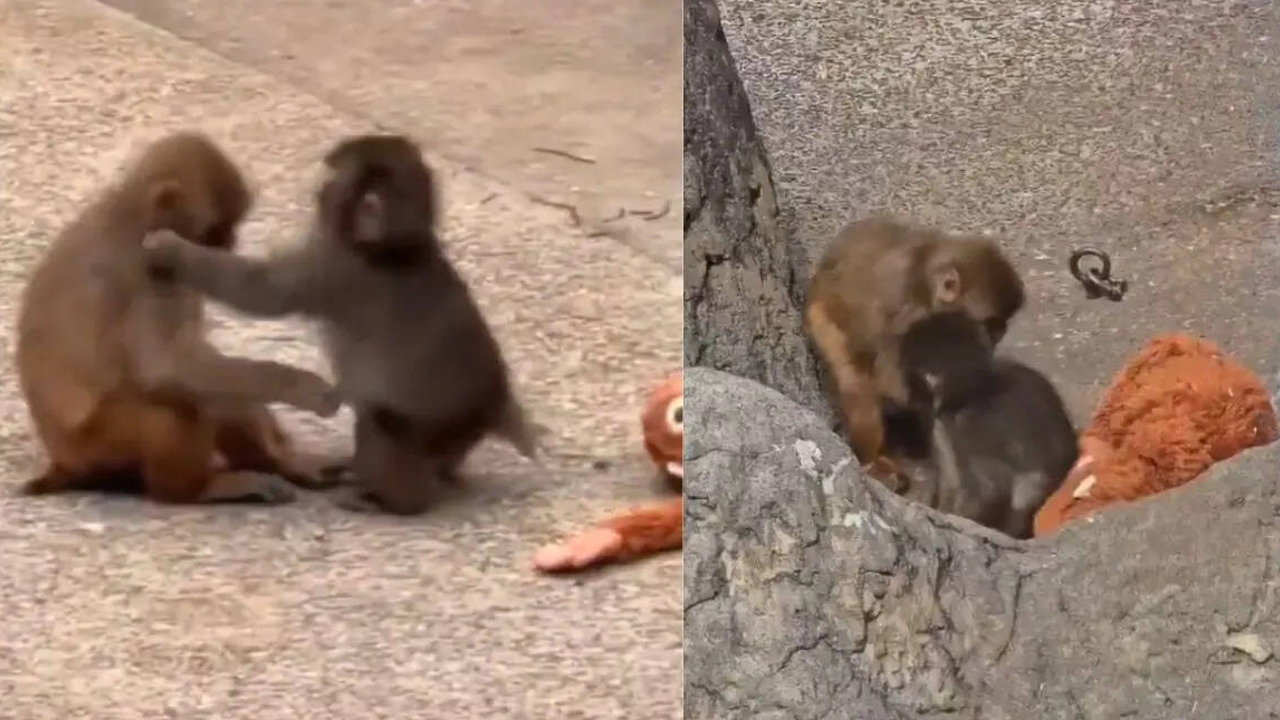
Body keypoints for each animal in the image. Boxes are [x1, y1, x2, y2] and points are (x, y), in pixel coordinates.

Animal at [15, 131, 342, 505]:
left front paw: (285, 459)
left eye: (232, 225)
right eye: (217, 228)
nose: (231, 241)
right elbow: (167, 368)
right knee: (178, 402)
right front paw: (298, 384)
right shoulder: (146, 268)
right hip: (99, 443)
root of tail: (61, 460)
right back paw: (192, 490)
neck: (133, 216)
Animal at [141, 133, 538, 516]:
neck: (391, 247)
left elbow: (264, 291)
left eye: (333, 176)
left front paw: (173, 249)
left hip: (430, 425)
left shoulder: (334, 266)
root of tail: (493, 402)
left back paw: (394, 503)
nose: (318, 183)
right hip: (456, 434)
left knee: (380, 426)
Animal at [803, 217, 1025, 486]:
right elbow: (888, 377)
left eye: (1001, 324)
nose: (999, 334)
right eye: (991, 323)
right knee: (858, 385)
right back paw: (872, 462)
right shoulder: (906, 313)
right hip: (823, 323)